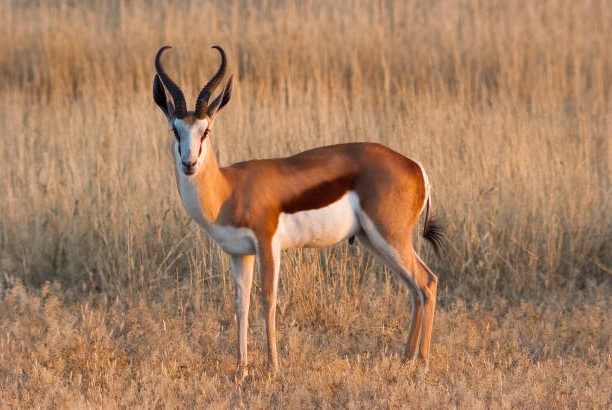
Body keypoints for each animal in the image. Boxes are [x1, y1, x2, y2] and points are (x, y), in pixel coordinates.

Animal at [153, 45, 444, 382]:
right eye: (175, 130)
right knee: (413, 288)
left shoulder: (268, 244)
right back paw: (405, 359)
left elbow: (268, 300)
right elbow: (241, 304)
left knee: (427, 281)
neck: (229, 188)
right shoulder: (240, 254)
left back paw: (422, 362)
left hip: (390, 237)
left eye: (206, 129)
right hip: (374, 240)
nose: (189, 163)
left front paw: (271, 367)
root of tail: (415, 166)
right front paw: (241, 370)